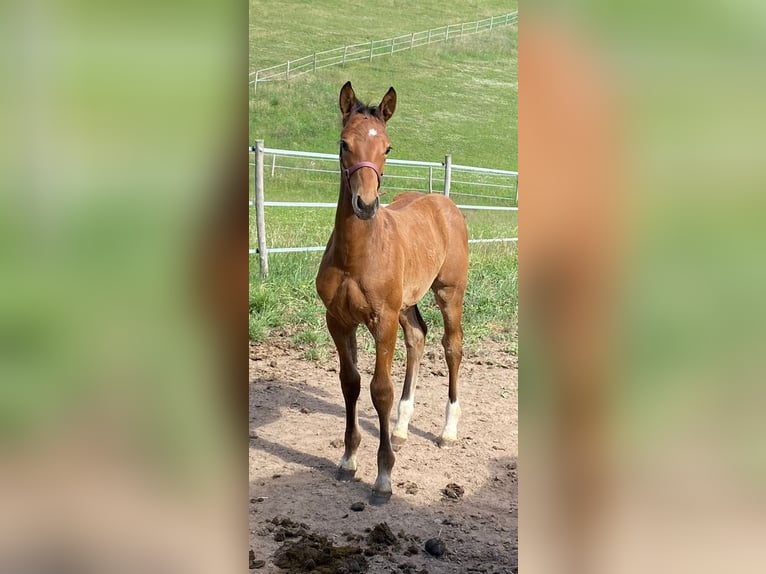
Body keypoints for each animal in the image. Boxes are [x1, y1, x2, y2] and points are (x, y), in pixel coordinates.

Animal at [315, 81, 469, 504]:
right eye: (343, 144)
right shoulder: (338, 321)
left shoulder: (381, 320)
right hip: (407, 302)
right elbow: (350, 383)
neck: (356, 255)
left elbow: (379, 389)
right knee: (417, 336)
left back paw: (448, 430)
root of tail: (444, 202)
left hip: (449, 293)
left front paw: (383, 478)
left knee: (452, 346)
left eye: (387, 147)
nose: (366, 205)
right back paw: (400, 427)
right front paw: (348, 459)